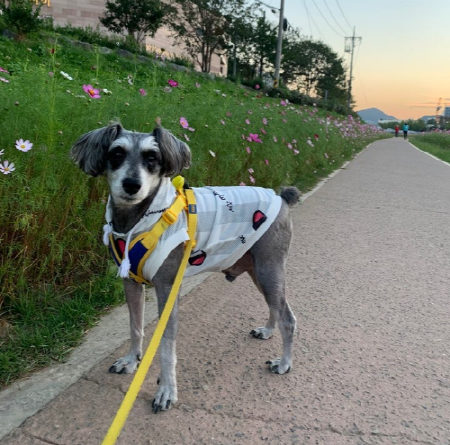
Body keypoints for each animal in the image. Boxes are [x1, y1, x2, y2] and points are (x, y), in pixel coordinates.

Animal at [70, 121, 300, 412]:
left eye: (152, 158)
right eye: (116, 153)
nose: (132, 185)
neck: (138, 220)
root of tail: (281, 198)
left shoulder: (167, 290)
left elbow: (166, 346)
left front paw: (167, 390)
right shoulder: (131, 283)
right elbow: (135, 327)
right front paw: (132, 361)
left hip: (269, 270)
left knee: (288, 318)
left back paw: (284, 363)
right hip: (259, 272)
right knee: (276, 308)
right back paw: (268, 331)